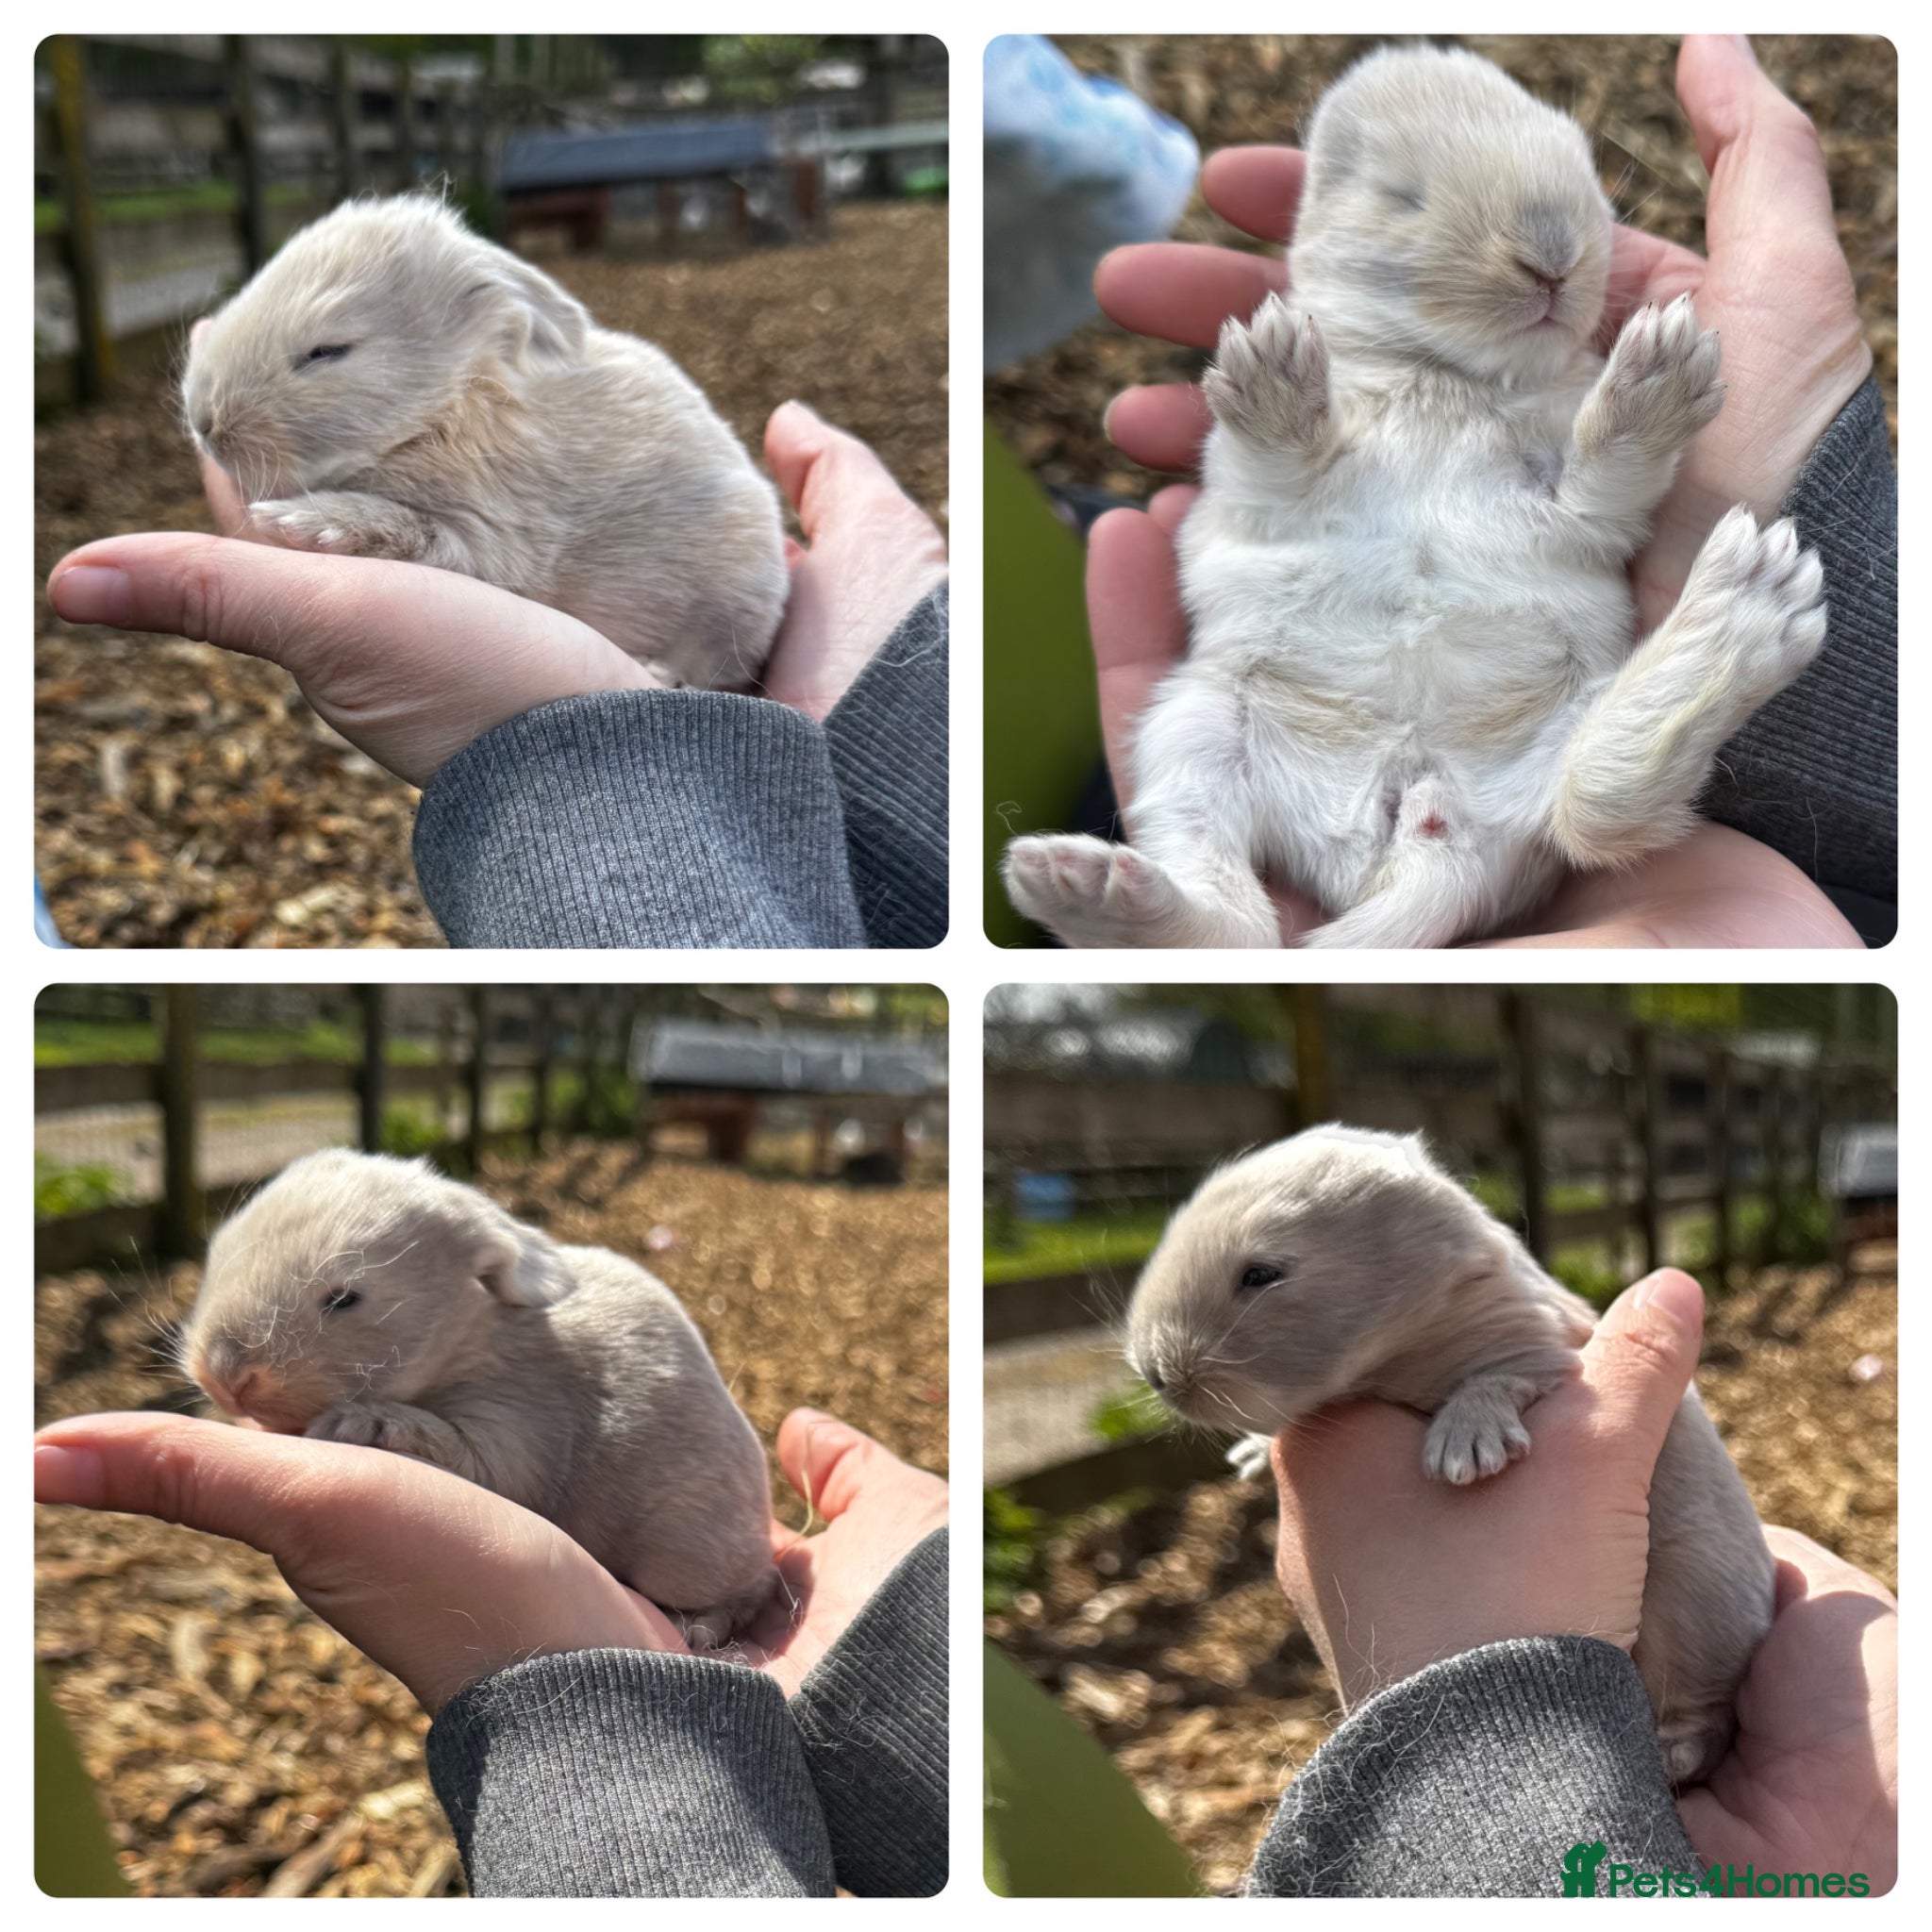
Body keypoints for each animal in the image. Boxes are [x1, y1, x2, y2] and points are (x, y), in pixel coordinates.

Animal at [177, 1149, 779, 1647]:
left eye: (345, 1299)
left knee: (750, 1590)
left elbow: (470, 1453)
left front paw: (357, 1422)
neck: (467, 1334)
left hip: (686, 1555)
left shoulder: (521, 1418)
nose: (224, 1376)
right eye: (218, 1252)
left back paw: (700, 1626)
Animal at [180, 193, 787, 691]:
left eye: (327, 351)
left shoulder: (492, 531)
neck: (450, 402)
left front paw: (301, 522)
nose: (205, 422)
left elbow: (408, 529)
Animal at [1005, 45, 1827, 948]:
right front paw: (1270, 368)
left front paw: (1663, 369)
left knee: (1595, 809)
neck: (1445, 374)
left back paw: (1748, 603)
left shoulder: (1579, 508)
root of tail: (1404, 840)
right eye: (1401, 198)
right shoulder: (1250, 490)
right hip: (1194, 733)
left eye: (1582, 169)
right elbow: (1276, 464)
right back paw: (1081, 884)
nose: (1553, 259)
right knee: (1234, 920)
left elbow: (1606, 476)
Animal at [1125, 1124, 1774, 1786]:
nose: (1156, 1376)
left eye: (1260, 1274)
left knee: (1708, 1712)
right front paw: (1251, 1455)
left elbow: (1493, 1381)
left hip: (1697, 1615)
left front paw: (1463, 1455)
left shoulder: (1536, 1350)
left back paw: (1675, 1753)